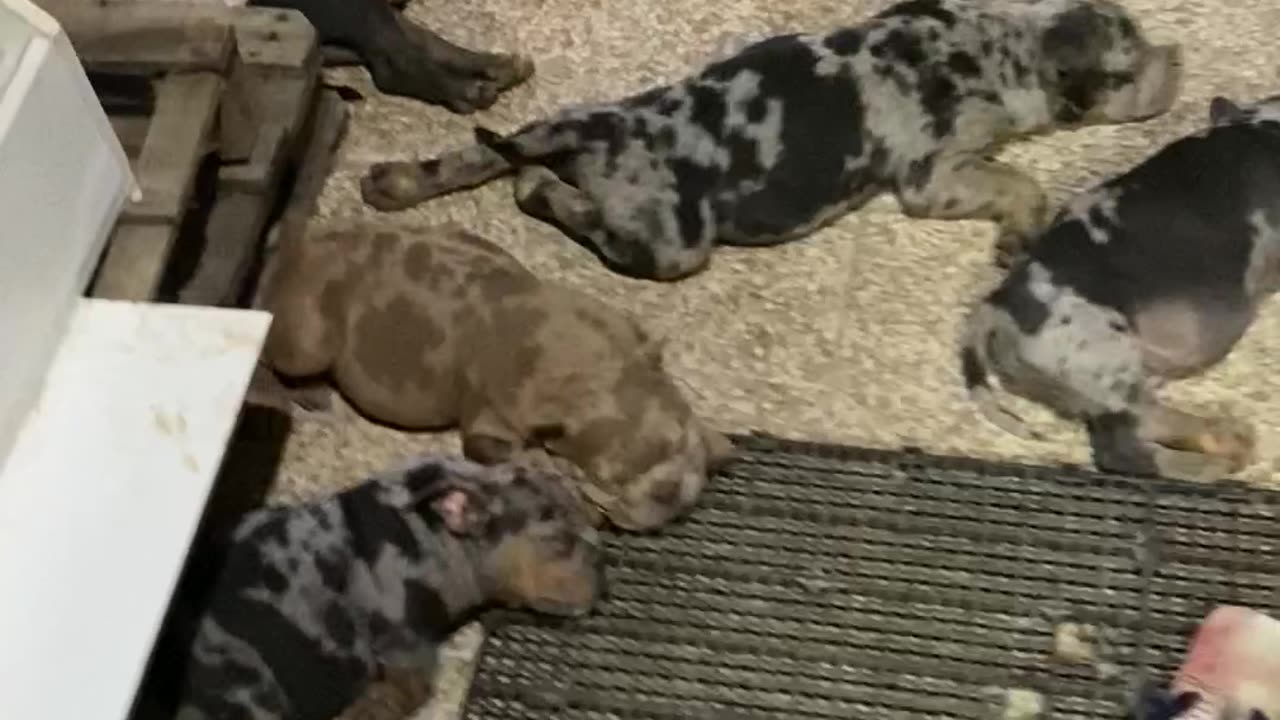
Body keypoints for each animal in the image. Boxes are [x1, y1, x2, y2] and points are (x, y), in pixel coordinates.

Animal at [358, 0, 1177, 279]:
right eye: (1133, 65)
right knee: (561, 204)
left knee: (469, 154)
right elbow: (1018, 181)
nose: (1179, 59)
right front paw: (1017, 233)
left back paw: (397, 181)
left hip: (552, 118)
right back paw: (537, 186)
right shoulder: (934, 176)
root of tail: (600, 139)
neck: (1006, 39)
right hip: (673, 242)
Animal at [962, 92, 1280, 479]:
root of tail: (996, 308)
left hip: (1088, 385)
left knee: (1116, 449)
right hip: (1103, 359)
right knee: (1133, 437)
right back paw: (1234, 441)